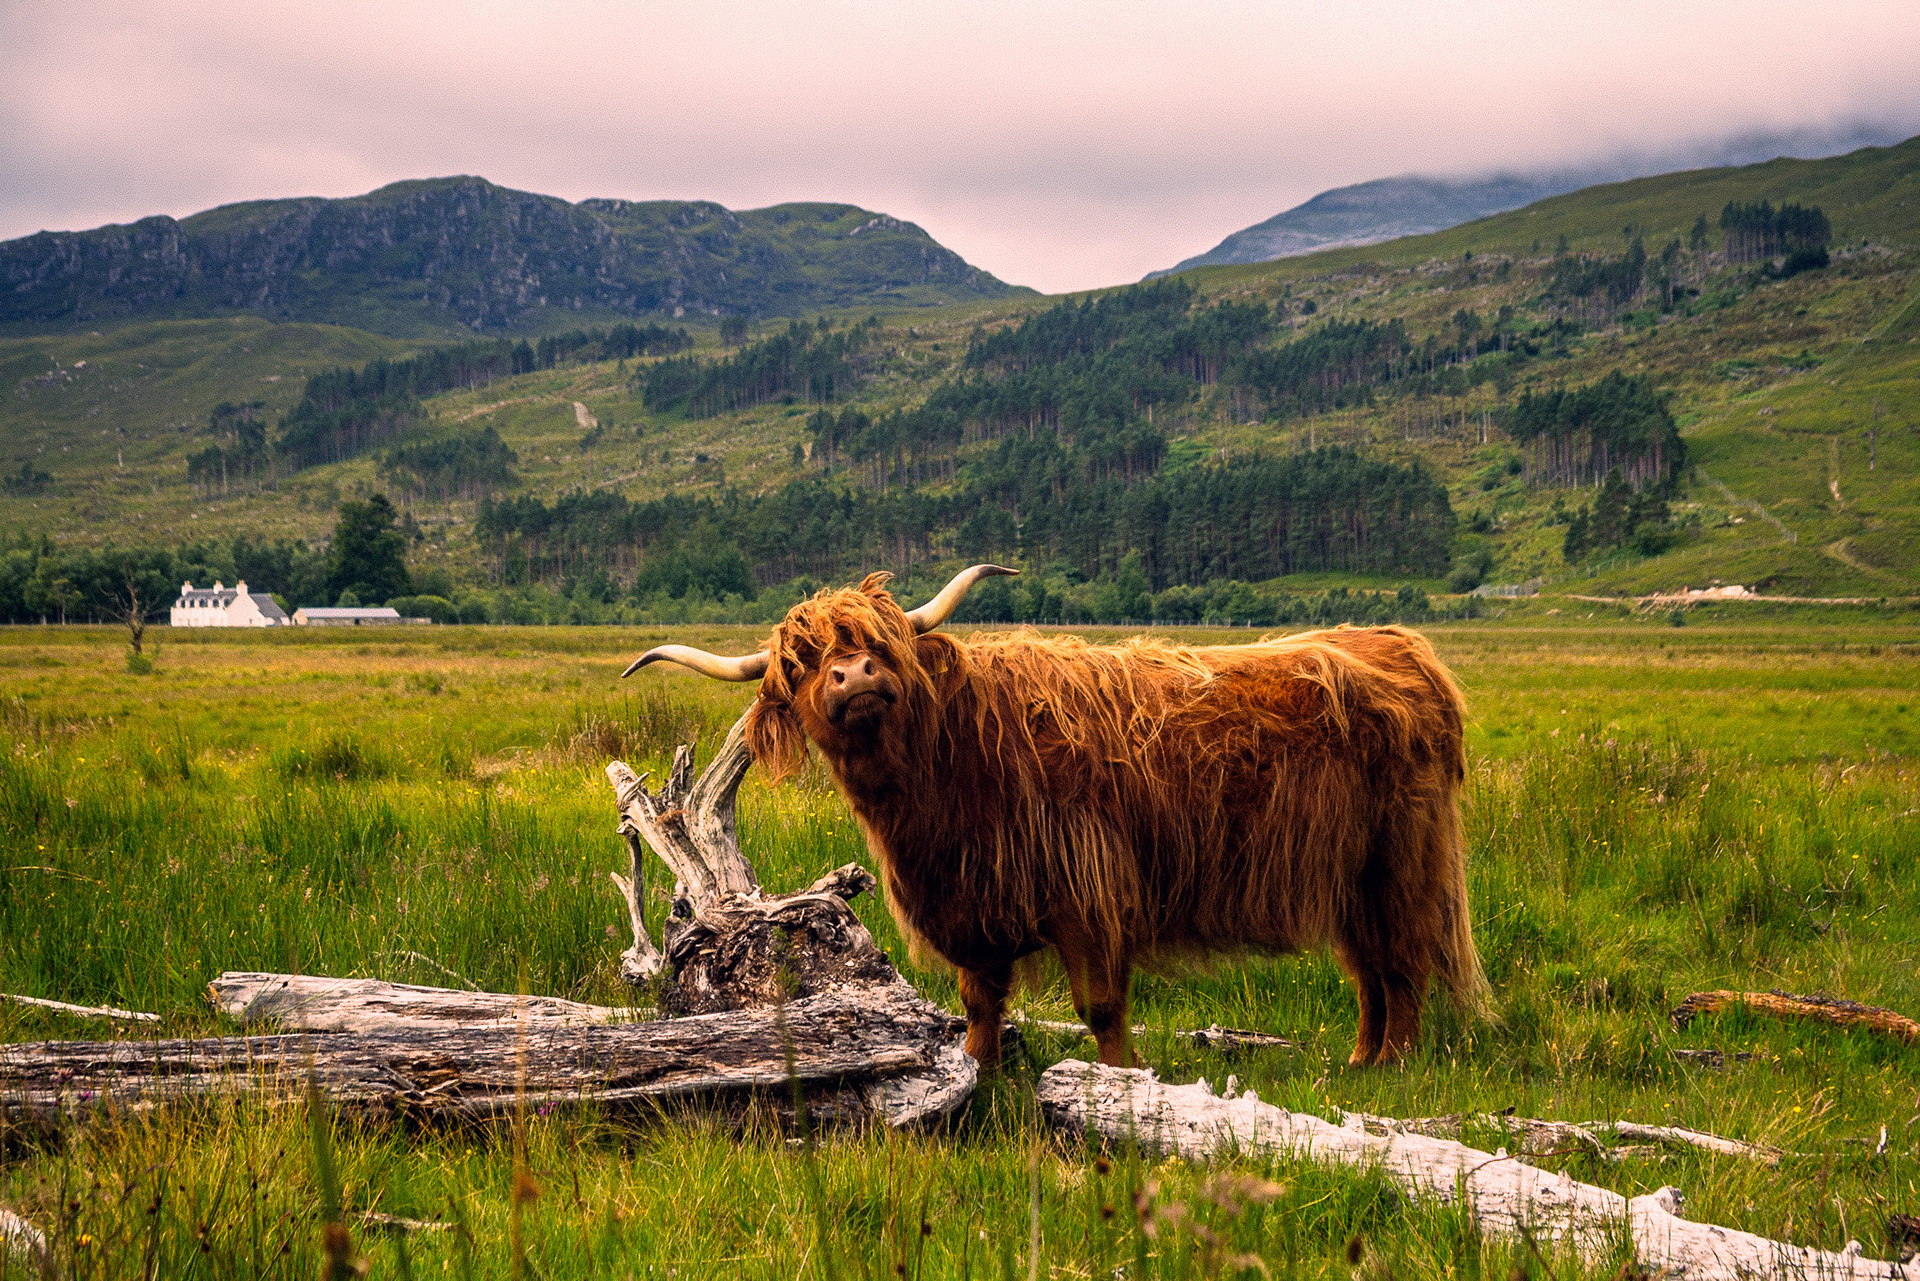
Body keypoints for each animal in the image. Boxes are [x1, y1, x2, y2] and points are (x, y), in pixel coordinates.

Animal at [624, 565, 1488, 1069]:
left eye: (883, 640)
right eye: (801, 664)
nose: (855, 673)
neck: (948, 772)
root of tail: (1400, 644)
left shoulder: (1089, 890)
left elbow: (1100, 1003)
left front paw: (1120, 1079)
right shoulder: (971, 903)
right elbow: (980, 1001)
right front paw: (978, 1073)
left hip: (1401, 858)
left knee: (1404, 962)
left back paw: (1394, 1067)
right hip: (1352, 873)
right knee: (1371, 968)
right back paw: (1361, 1062)